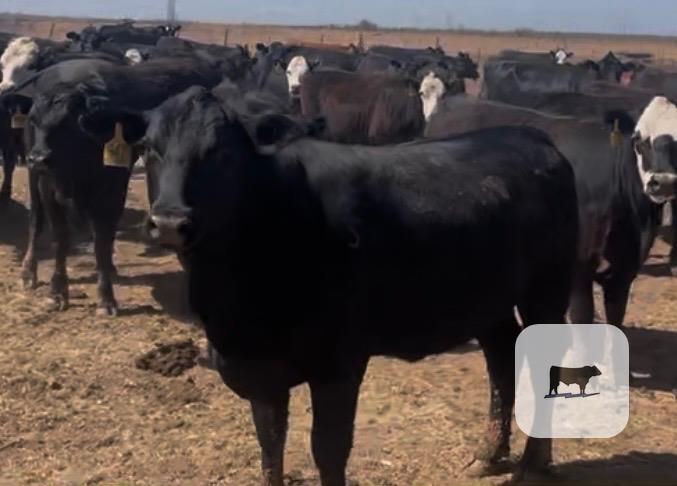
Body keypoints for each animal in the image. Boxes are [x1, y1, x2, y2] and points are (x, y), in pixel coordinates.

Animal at [0, 56, 224, 315]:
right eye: (34, 121)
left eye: (67, 123)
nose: (37, 158)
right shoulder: (49, 188)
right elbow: (61, 237)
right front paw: (58, 291)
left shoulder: (113, 190)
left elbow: (102, 240)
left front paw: (106, 296)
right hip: (34, 177)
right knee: (36, 220)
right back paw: (29, 271)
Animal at [79, 85, 579, 484]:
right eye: (149, 147)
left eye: (220, 151)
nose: (169, 222)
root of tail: (529, 138)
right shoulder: (259, 370)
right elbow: (270, 447)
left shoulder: (339, 364)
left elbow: (328, 451)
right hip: (486, 299)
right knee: (501, 356)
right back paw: (488, 454)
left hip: (547, 292)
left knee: (542, 359)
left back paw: (533, 463)